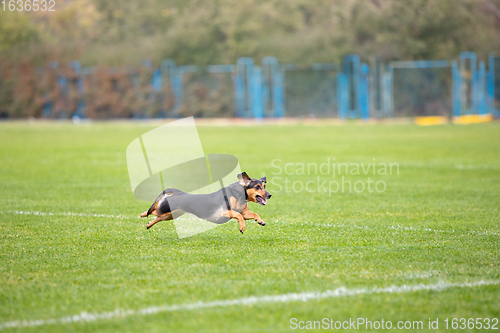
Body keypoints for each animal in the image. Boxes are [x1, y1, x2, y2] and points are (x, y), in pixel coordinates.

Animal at [141, 171, 272, 233]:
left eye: (264, 186)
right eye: (257, 187)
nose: (270, 195)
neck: (238, 195)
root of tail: (177, 193)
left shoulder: (244, 213)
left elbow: (253, 214)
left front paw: (260, 221)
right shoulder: (225, 211)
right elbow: (238, 216)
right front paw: (242, 227)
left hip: (171, 215)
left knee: (156, 218)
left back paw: (148, 224)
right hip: (165, 210)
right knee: (153, 212)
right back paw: (143, 214)